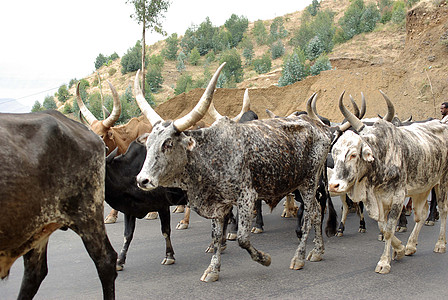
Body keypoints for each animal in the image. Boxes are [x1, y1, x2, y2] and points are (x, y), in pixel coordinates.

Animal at [105, 136, 187, 270]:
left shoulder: (162, 205)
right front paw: (120, 261)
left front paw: (169, 256)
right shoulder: (129, 210)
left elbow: (165, 231)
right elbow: (127, 235)